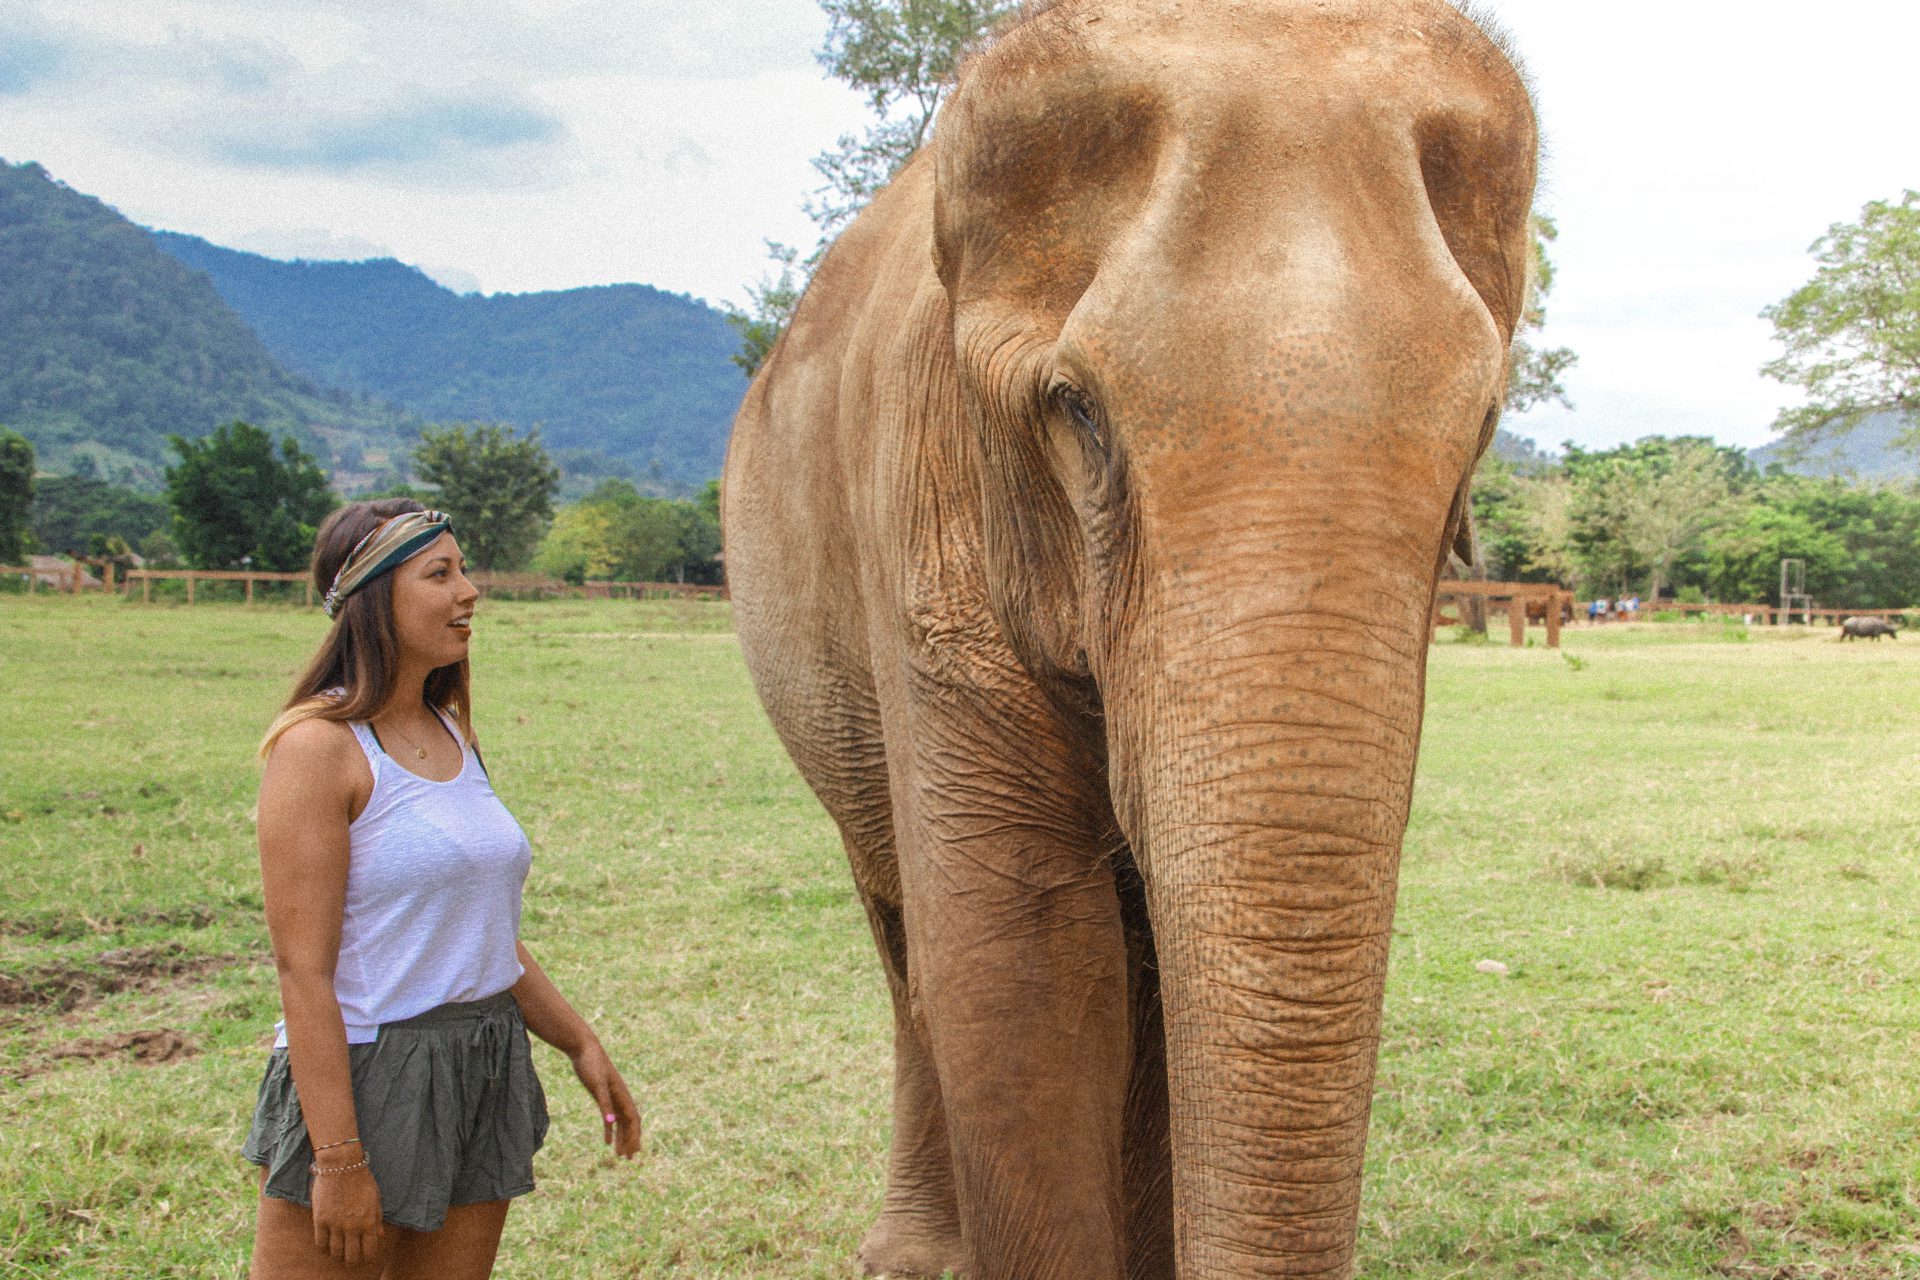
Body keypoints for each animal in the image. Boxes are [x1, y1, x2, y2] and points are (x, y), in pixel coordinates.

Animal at [725, 2, 1536, 1280]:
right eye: (1078, 412)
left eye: (1484, 427)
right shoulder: (920, 507)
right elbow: (1020, 956)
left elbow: (1150, 955)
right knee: (902, 927)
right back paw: (911, 1252)